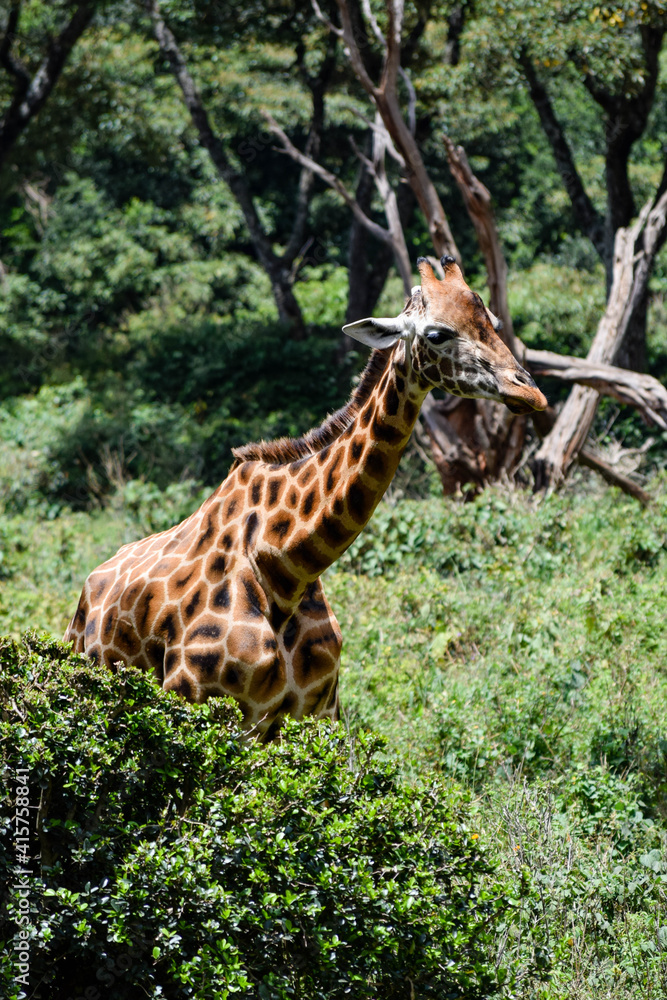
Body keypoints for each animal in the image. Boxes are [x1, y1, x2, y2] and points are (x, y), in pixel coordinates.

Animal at [65, 256, 547, 738]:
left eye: (493, 322)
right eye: (437, 334)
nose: (530, 392)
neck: (286, 567)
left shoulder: (318, 712)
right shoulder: (193, 699)